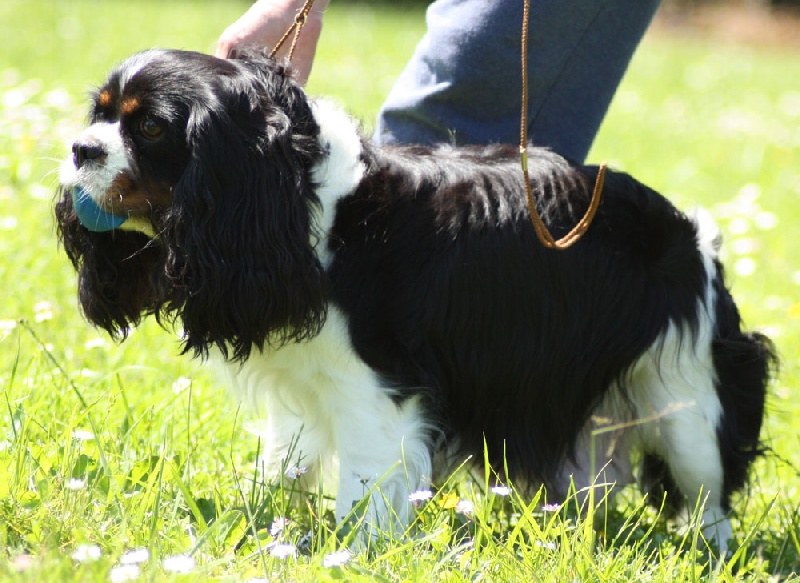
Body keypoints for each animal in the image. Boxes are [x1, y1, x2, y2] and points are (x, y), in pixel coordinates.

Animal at [53, 50, 772, 552]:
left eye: (149, 125)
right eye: (101, 114)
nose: (79, 148)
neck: (299, 202)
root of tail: (692, 234)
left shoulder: (378, 388)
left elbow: (363, 487)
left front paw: (349, 554)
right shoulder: (304, 379)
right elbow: (284, 461)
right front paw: (261, 519)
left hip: (688, 399)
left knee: (708, 498)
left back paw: (710, 553)